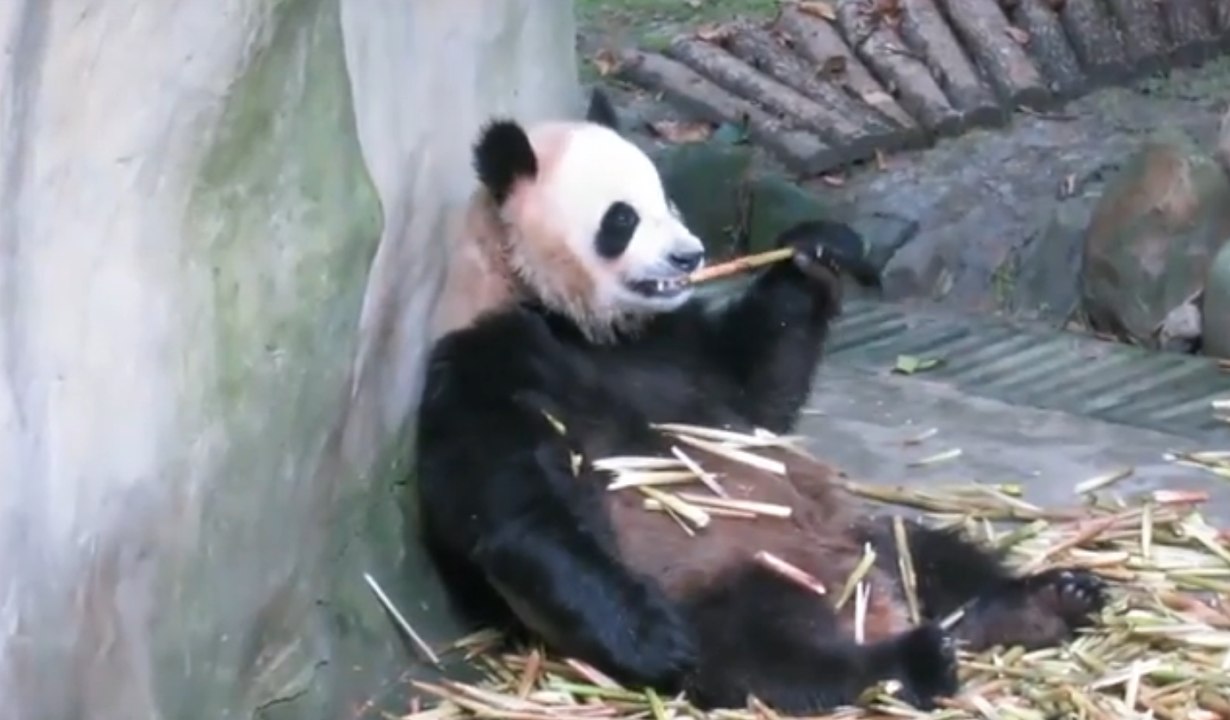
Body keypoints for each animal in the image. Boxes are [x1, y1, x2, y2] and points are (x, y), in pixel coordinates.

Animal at [414, 90, 1107, 714]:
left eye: (667, 199)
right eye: (622, 218)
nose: (689, 255)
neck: (578, 322)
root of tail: (870, 600)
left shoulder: (676, 344)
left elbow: (758, 392)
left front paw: (817, 252)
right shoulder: (488, 362)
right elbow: (514, 512)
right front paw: (654, 638)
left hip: (855, 531)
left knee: (933, 555)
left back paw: (1045, 601)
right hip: (725, 573)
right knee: (770, 653)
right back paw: (908, 661)